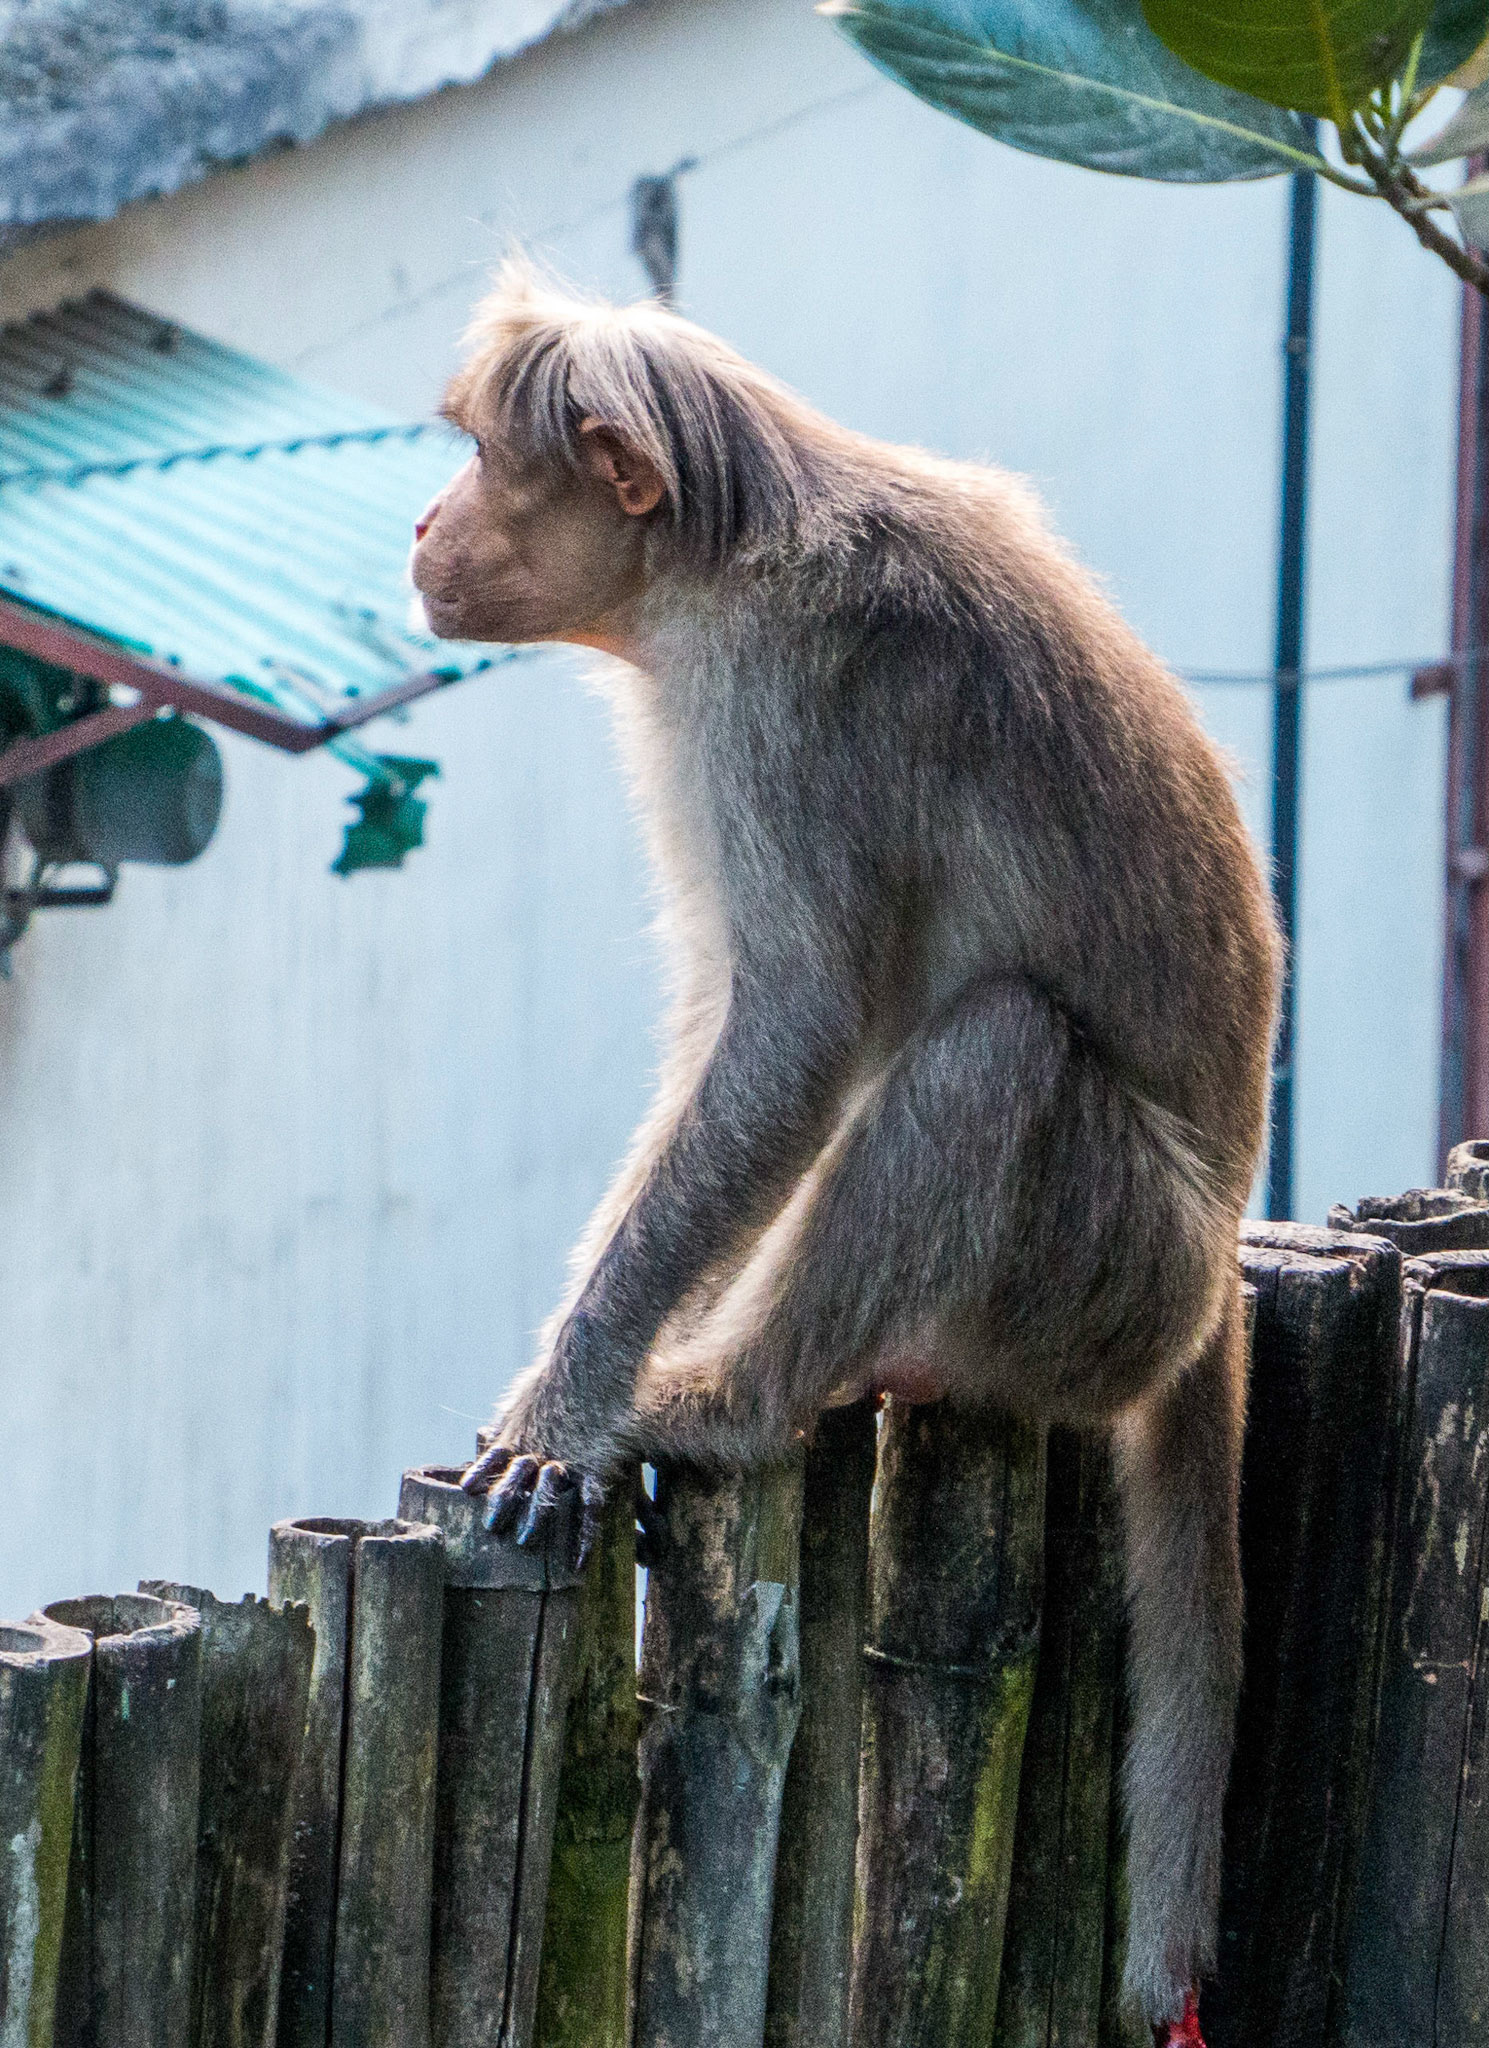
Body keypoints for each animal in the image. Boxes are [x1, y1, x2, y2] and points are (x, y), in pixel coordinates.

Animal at [409, 259, 1278, 2048]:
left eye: (474, 456)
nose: (419, 524)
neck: (714, 559)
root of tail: (1218, 1272)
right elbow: (728, 1028)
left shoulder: (784, 706)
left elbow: (796, 1031)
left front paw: (571, 1403)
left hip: (1103, 1280)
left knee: (996, 1055)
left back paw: (731, 1402)